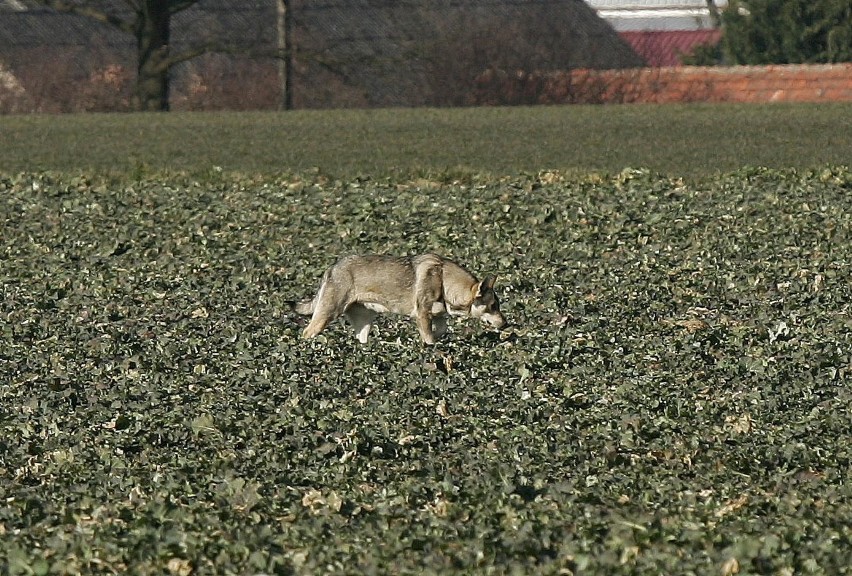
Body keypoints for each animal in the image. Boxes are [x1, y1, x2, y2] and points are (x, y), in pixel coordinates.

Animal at [294, 254, 506, 344]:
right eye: (493, 306)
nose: (506, 324)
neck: (444, 281)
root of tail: (331, 268)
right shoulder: (422, 314)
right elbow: (430, 337)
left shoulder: (437, 316)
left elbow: (439, 331)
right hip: (327, 315)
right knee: (306, 332)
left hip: (365, 323)